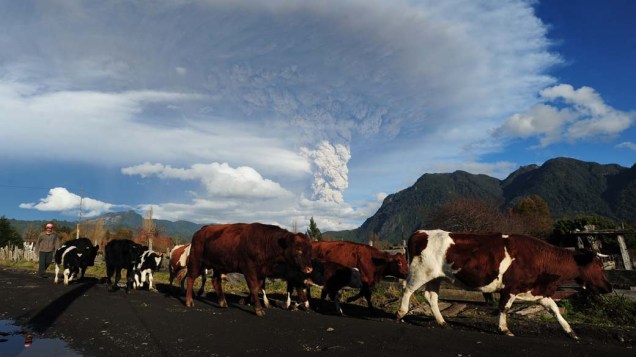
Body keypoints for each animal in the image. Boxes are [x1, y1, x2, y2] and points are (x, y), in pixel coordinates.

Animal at [396, 229, 612, 338]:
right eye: (598, 266)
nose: (609, 287)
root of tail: (421, 232)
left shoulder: (540, 291)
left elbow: (555, 310)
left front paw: (570, 332)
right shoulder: (511, 287)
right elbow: (504, 308)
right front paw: (504, 329)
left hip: (436, 277)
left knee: (431, 297)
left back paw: (442, 323)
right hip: (420, 272)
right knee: (407, 289)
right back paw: (400, 314)